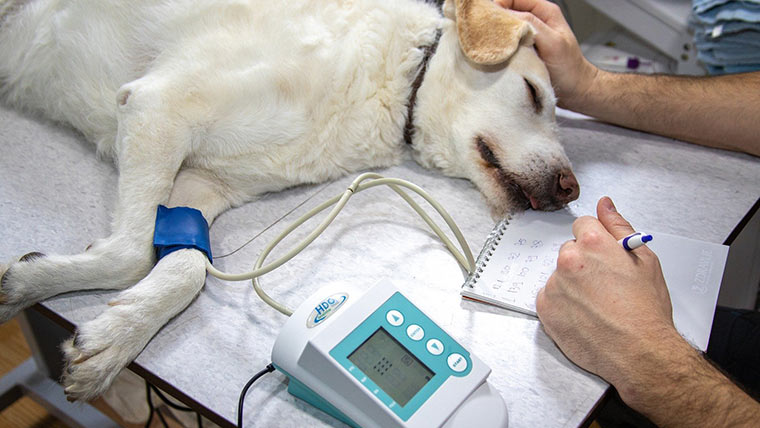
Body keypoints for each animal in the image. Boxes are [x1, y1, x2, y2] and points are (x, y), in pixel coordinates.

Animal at [1, 0, 576, 402]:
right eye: (533, 94)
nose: (572, 190)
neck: (392, 78)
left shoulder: (201, 186)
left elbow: (185, 266)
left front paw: (110, 336)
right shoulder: (158, 107)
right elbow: (130, 254)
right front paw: (32, 287)